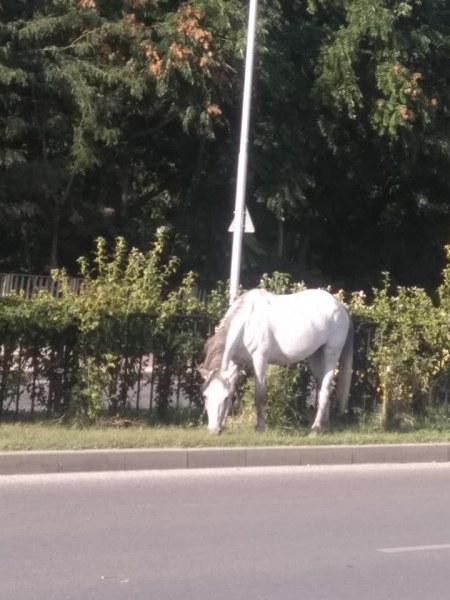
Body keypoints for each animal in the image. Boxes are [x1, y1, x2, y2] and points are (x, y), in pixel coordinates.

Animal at [199, 288, 354, 434]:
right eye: (205, 396)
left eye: (224, 398)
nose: (213, 430)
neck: (246, 323)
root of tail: (340, 306)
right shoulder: (235, 363)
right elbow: (231, 390)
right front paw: (223, 425)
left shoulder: (260, 359)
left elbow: (259, 395)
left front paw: (260, 427)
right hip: (316, 356)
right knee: (322, 386)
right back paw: (324, 426)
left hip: (331, 354)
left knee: (326, 389)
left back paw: (315, 429)